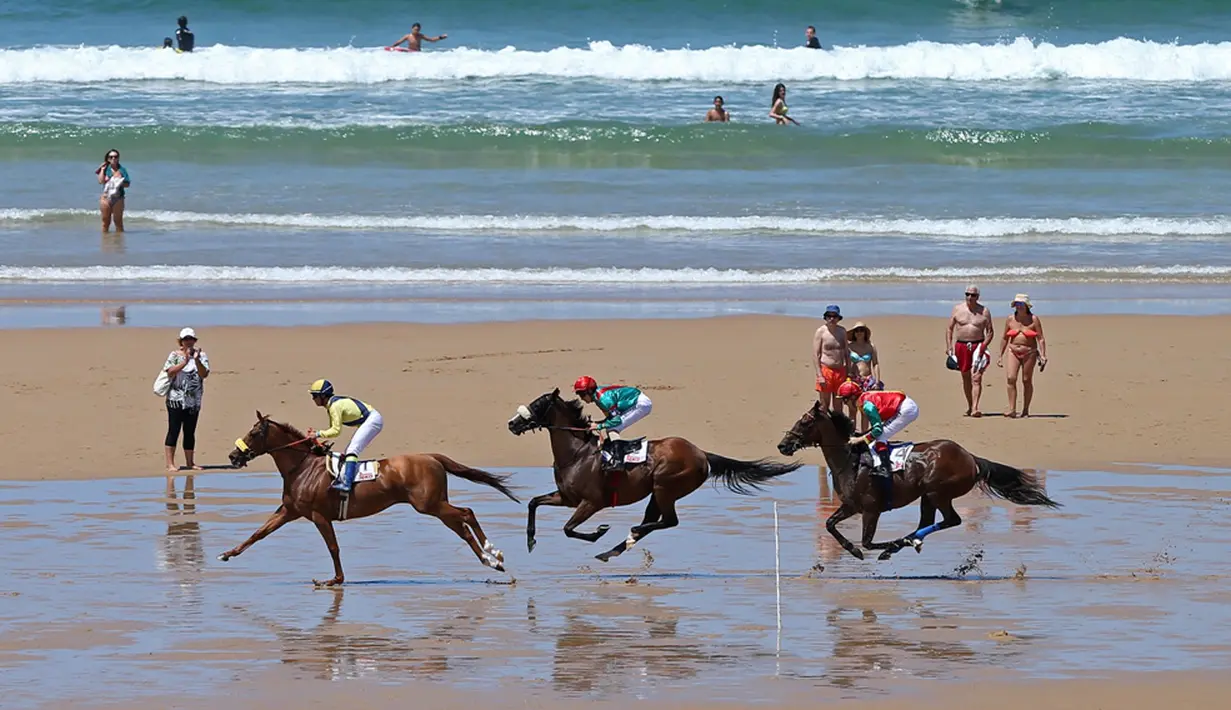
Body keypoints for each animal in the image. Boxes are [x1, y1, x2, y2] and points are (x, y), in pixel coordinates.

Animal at [221, 413, 519, 583]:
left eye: (254, 433)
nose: (233, 456)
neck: (303, 466)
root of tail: (431, 457)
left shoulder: (319, 516)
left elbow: (333, 547)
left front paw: (335, 580)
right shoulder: (289, 511)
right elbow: (258, 533)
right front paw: (228, 553)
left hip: (429, 505)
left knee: (467, 513)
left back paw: (494, 553)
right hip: (436, 506)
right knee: (462, 528)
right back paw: (491, 562)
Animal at [504, 388, 802, 558]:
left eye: (538, 404)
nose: (512, 424)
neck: (577, 453)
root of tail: (701, 454)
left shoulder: (592, 502)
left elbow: (568, 529)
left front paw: (599, 531)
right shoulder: (567, 498)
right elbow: (533, 503)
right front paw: (530, 540)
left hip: (665, 487)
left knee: (668, 521)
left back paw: (630, 534)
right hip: (656, 492)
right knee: (655, 519)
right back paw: (616, 548)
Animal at [777, 401, 1058, 561]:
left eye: (805, 421)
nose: (783, 445)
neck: (851, 461)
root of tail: (971, 458)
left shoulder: (870, 509)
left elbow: (867, 542)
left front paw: (866, 549)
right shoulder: (850, 506)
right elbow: (829, 524)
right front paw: (854, 549)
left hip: (938, 492)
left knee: (951, 520)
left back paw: (903, 543)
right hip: (928, 496)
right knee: (929, 522)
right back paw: (909, 541)